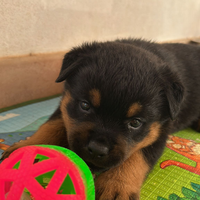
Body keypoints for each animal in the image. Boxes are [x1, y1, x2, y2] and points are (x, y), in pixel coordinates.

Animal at [1, 39, 200, 200]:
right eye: (85, 105)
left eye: (135, 123)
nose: (97, 150)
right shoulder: (66, 104)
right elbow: (52, 125)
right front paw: (27, 148)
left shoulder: (159, 130)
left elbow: (136, 157)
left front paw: (116, 187)